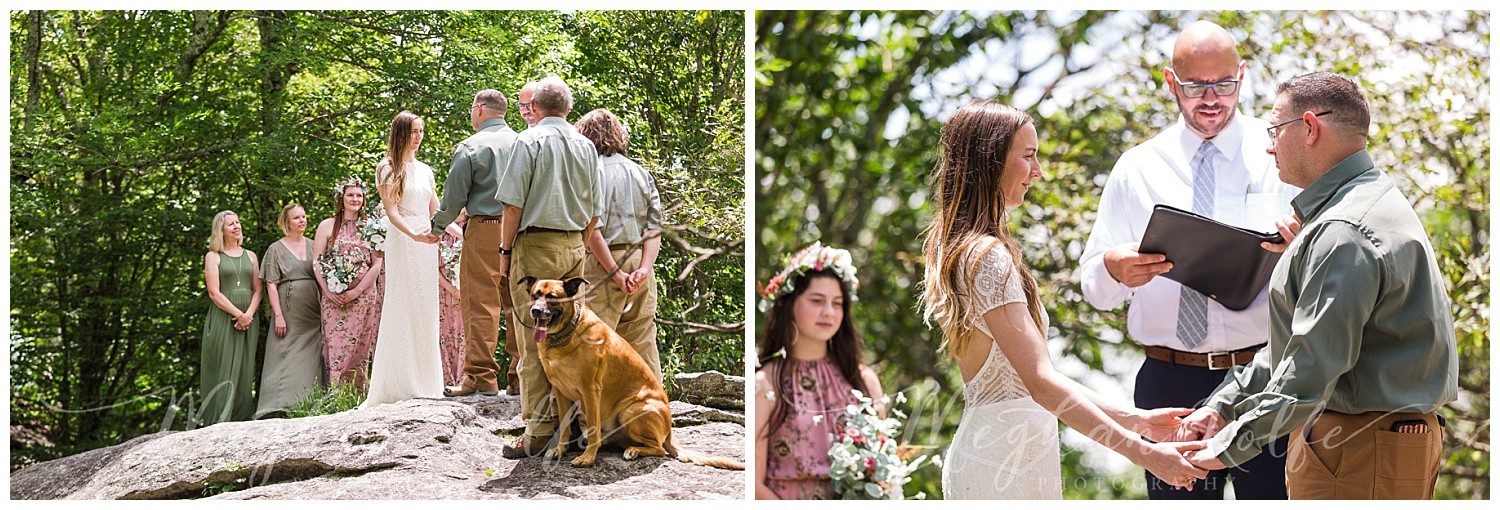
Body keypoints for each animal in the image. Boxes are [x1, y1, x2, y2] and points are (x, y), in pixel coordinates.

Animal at [519, 274, 747, 471]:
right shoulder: (559, 390)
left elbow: (592, 428)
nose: (536, 311)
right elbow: (565, 426)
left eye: (552, 297)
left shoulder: (590, 390)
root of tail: (669, 432)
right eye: (535, 295)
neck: (564, 336)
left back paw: (633, 451)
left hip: (632, 410)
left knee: (659, 449)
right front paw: (559, 449)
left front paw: (588, 458)